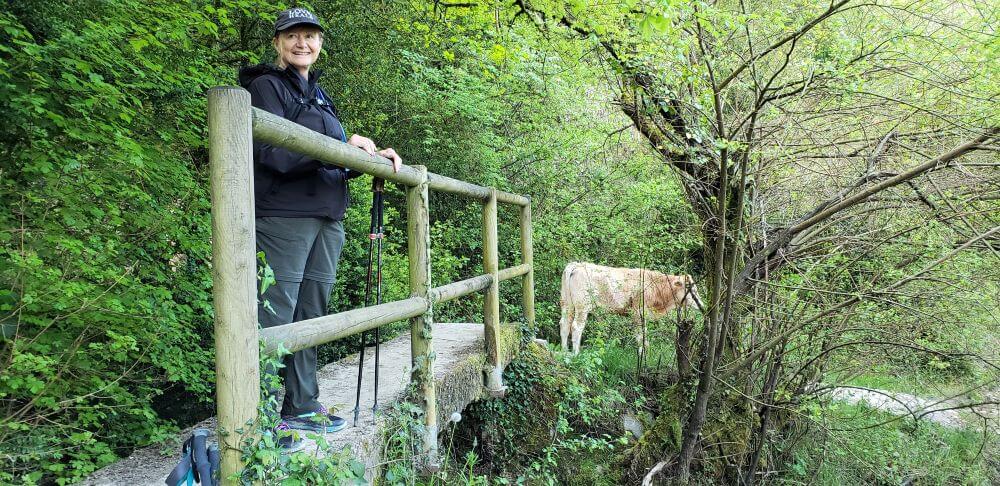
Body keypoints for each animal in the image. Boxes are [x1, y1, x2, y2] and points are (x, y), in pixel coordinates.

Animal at [560, 260, 708, 356]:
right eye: (692, 289)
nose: (702, 305)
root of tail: (577, 265)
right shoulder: (639, 312)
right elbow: (641, 336)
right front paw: (643, 356)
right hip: (582, 306)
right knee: (576, 327)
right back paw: (575, 354)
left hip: (567, 304)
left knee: (564, 325)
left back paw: (564, 352)